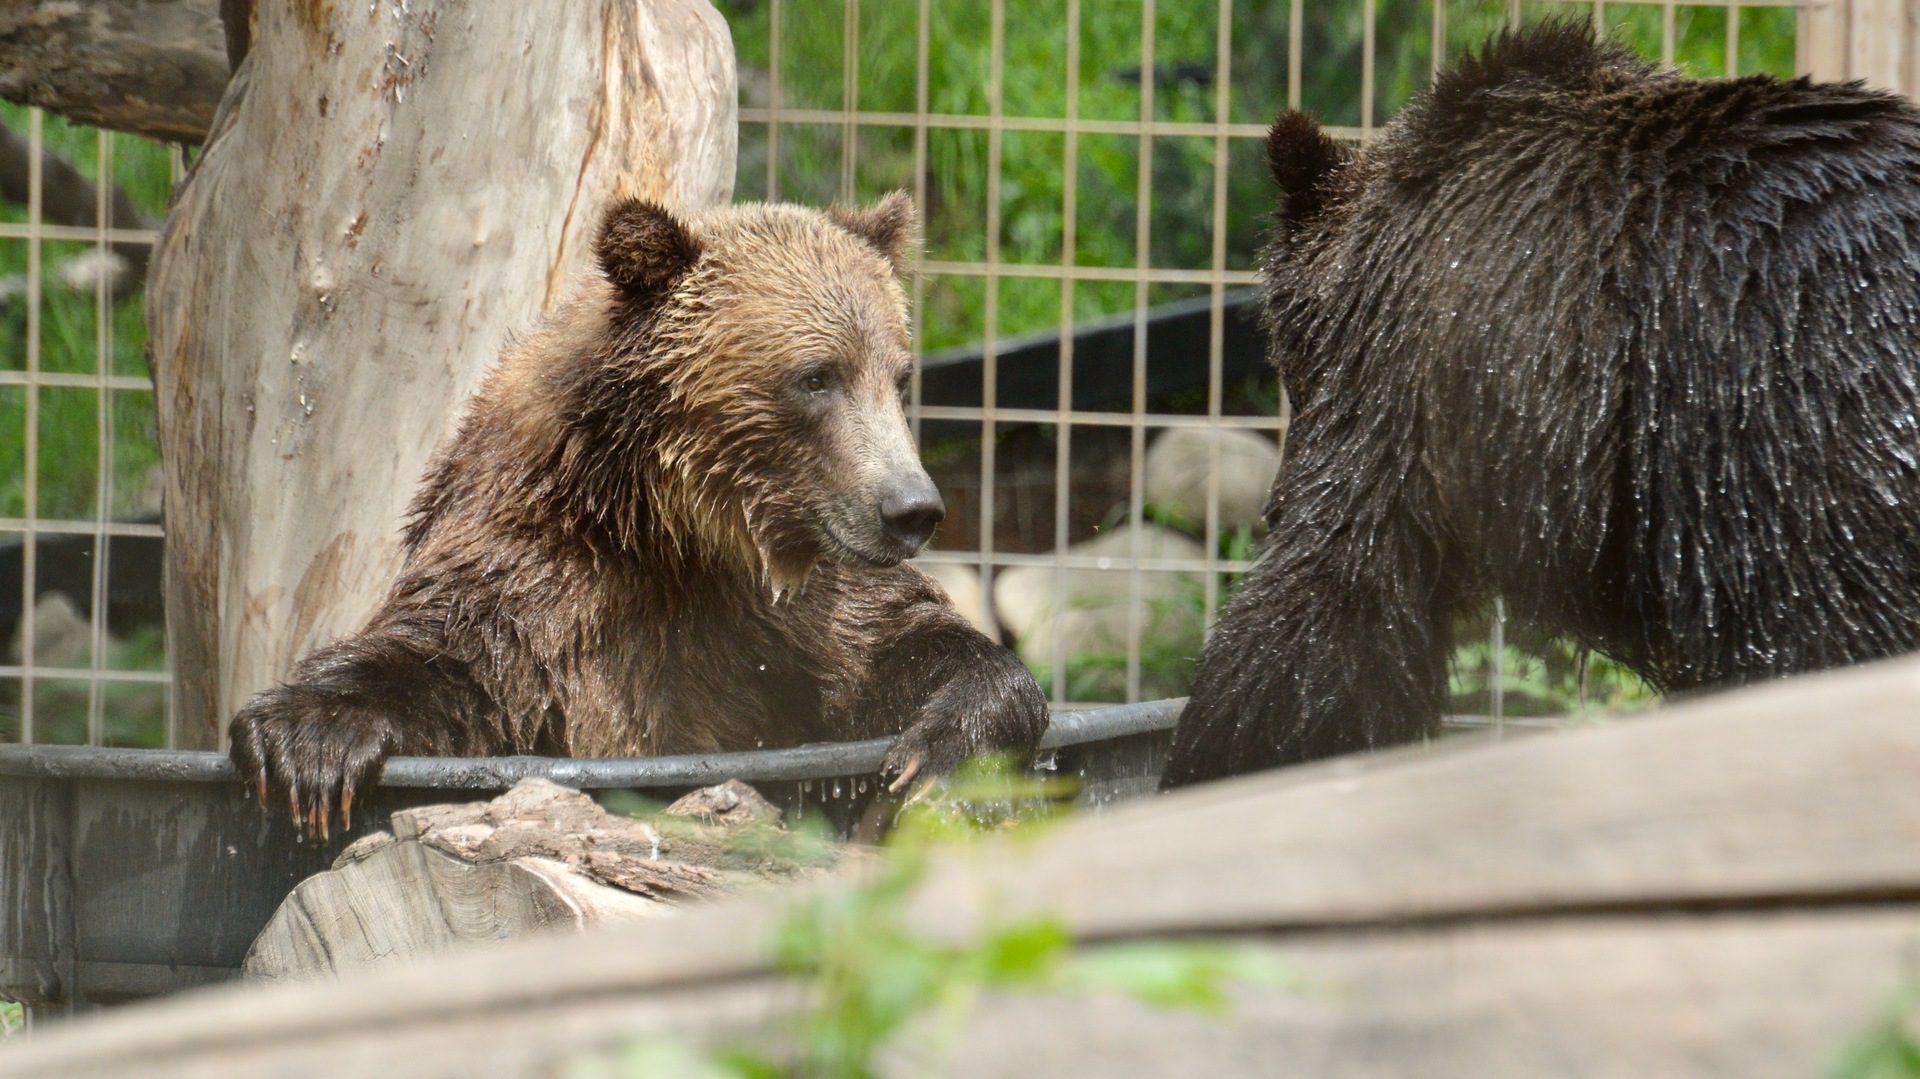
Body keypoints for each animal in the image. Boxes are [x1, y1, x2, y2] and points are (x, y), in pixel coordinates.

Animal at [230, 193, 1051, 831]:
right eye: (817, 377)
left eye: (899, 376)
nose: (912, 508)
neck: (674, 529)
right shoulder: (536, 572)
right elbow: (444, 662)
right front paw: (310, 741)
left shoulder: (800, 601)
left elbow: (906, 645)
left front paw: (940, 748)